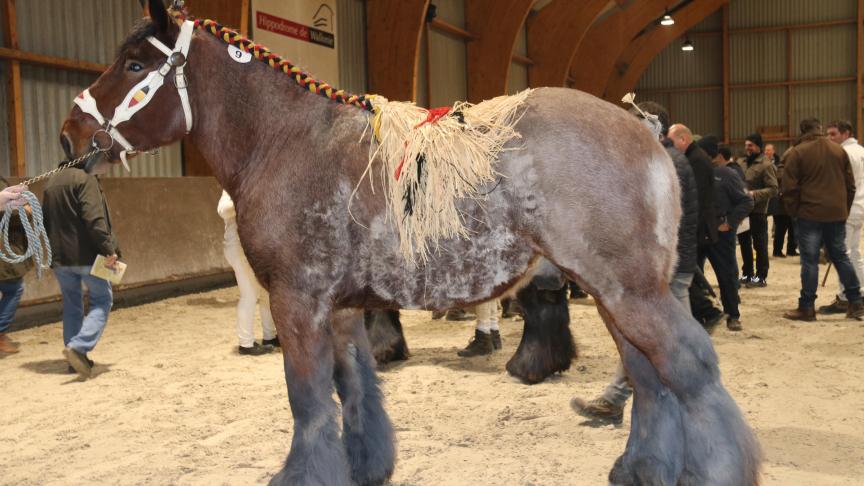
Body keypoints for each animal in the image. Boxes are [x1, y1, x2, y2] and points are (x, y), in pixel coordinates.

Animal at [59, 1, 756, 484]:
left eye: (135, 64)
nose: (70, 133)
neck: (286, 141)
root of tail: (646, 135)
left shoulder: (296, 304)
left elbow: (308, 402)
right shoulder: (340, 311)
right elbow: (354, 390)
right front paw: (366, 465)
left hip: (629, 292)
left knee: (687, 370)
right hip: (614, 294)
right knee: (647, 377)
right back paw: (641, 467)